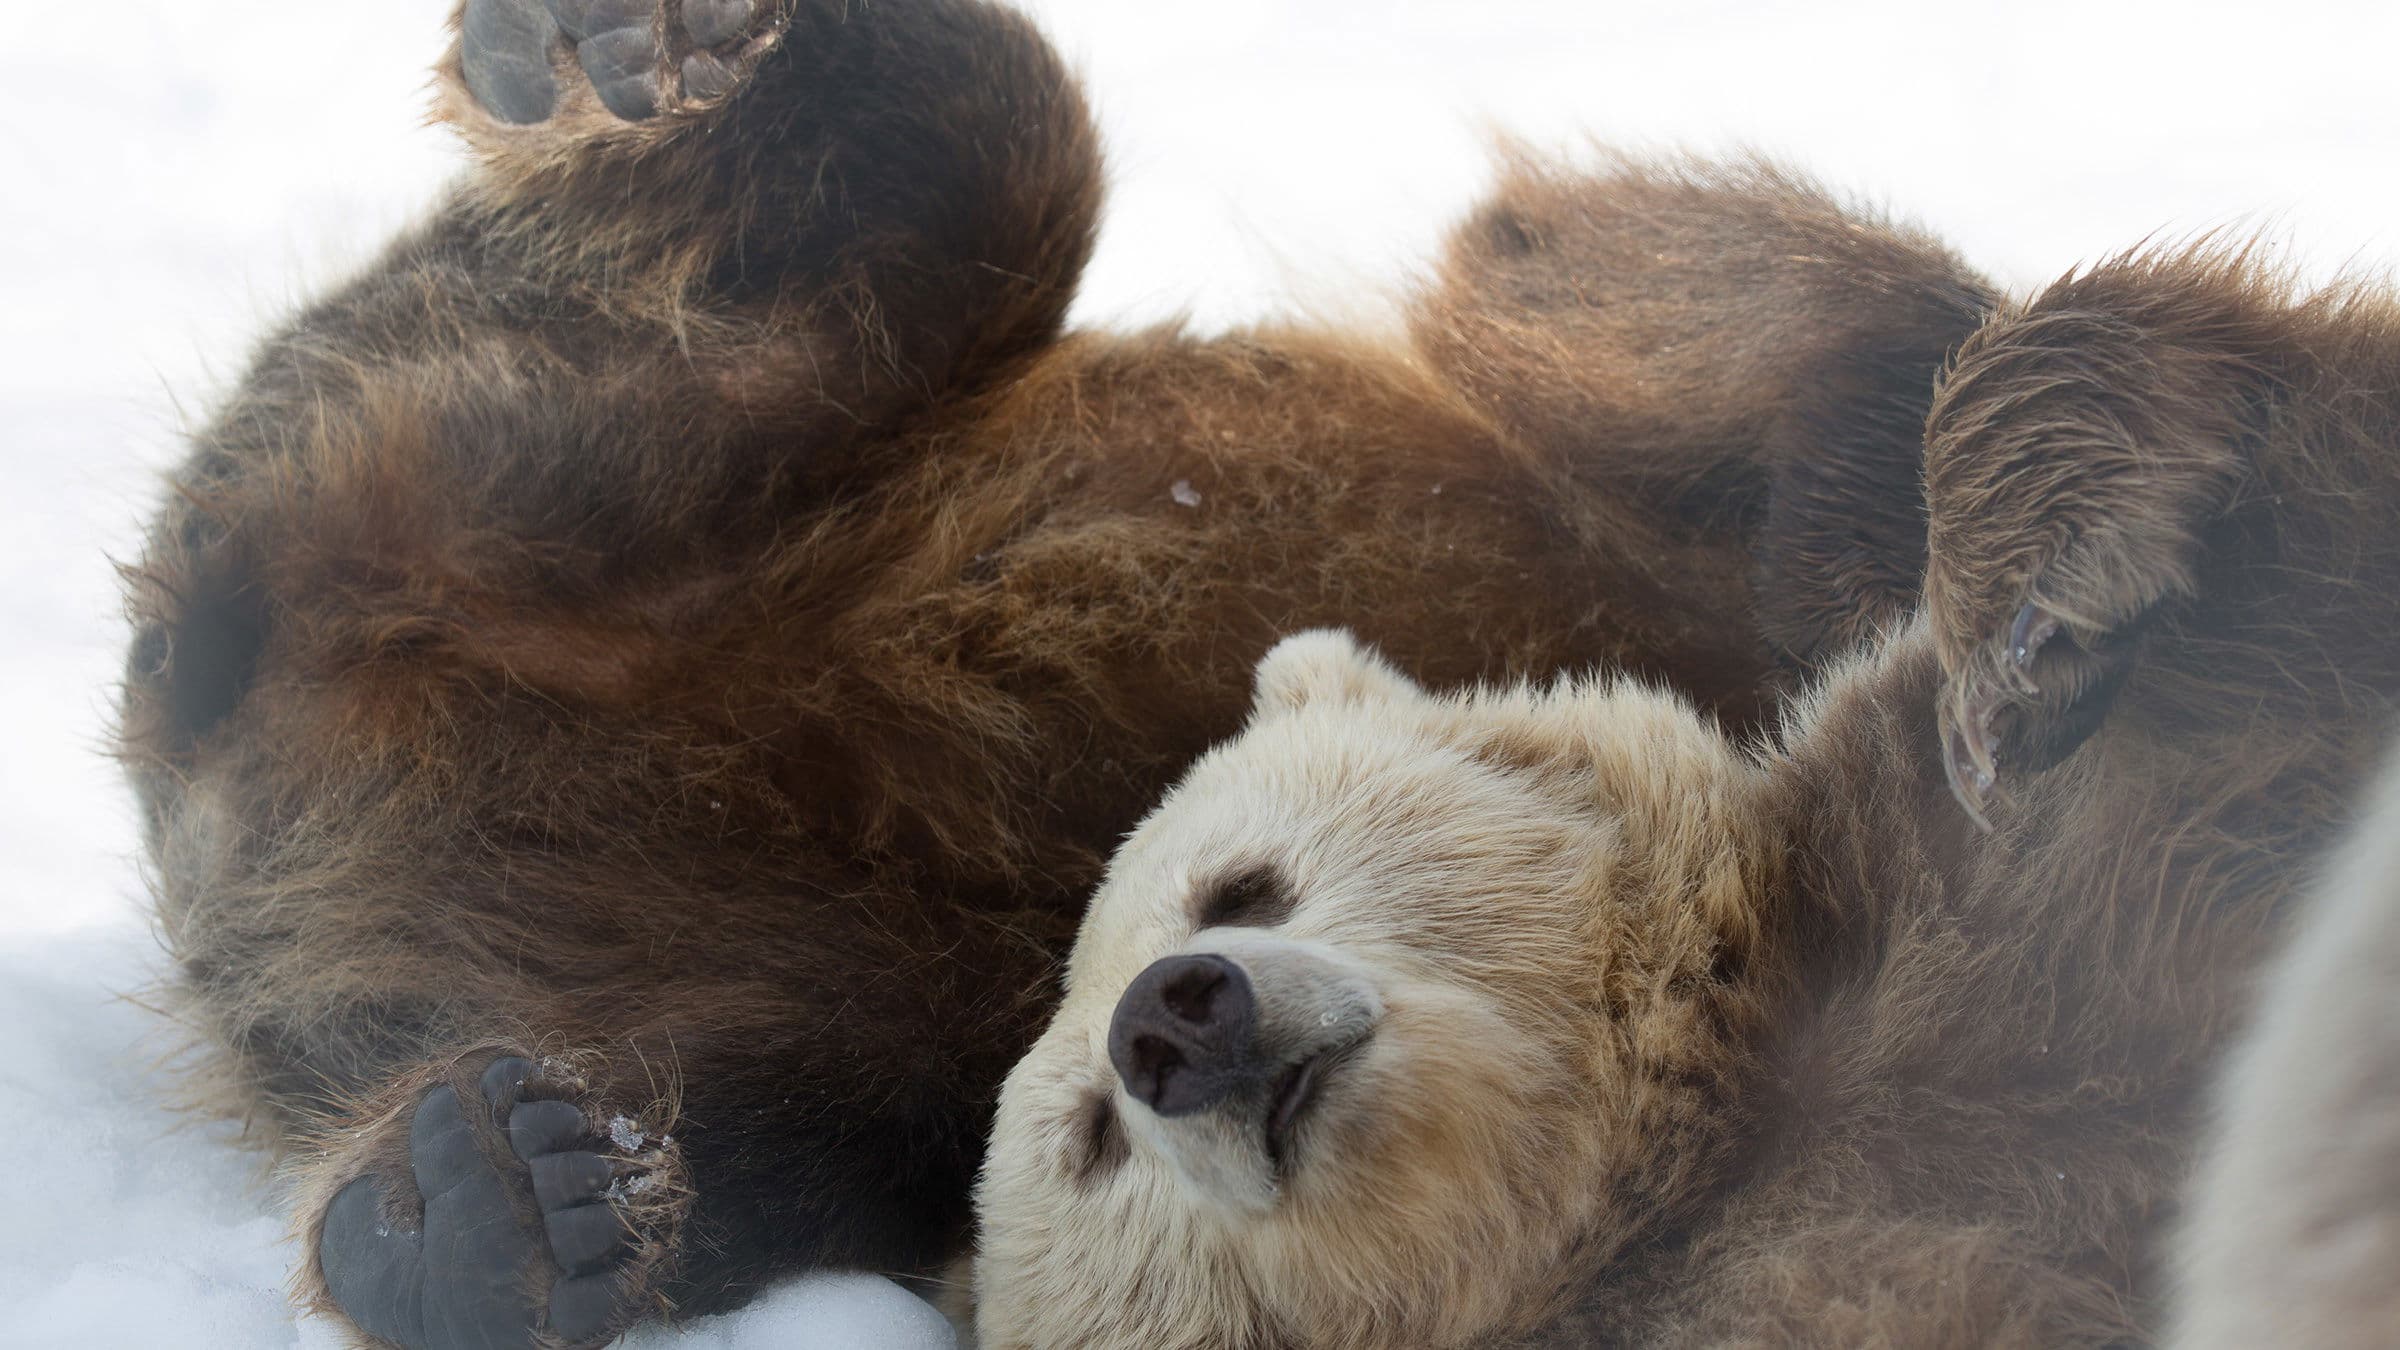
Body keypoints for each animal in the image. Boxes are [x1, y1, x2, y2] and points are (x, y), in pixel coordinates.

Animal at [115, 0, 1996, 1344]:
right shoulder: (1617, 443)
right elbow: (1706, 299)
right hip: (586, 436)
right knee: (960, 156)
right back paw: (639, 47)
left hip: (757, 972)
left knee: (780, 1122)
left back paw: (490, 1207)